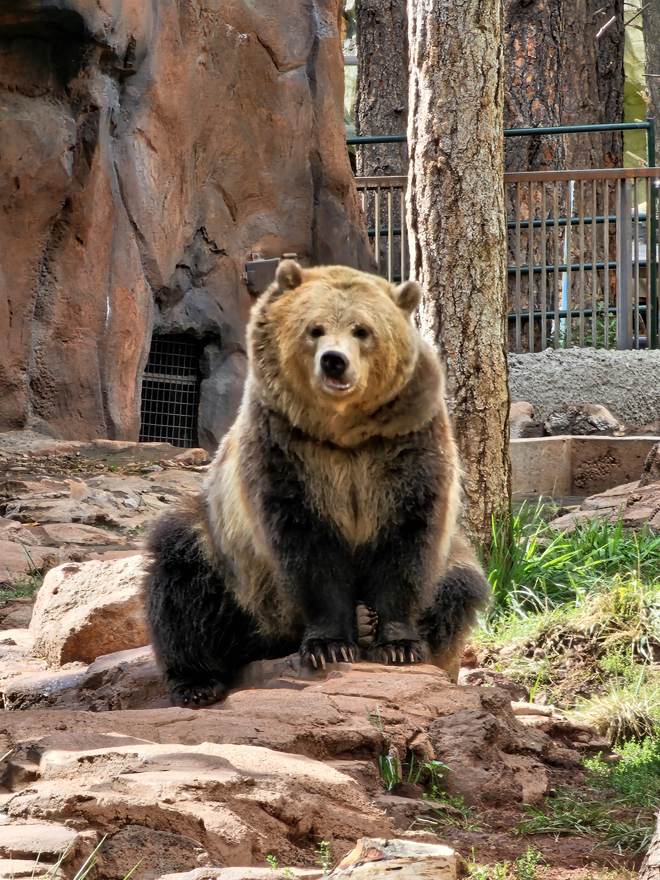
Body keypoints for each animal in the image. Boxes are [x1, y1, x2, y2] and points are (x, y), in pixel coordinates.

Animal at [144, 260, 491, 706]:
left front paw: (398, 644)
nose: (334, 362)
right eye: (315, 329)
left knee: (459, 587)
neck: (343, 431)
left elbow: (407, 538)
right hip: (232, 560)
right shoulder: (286, 450)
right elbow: (307, 546)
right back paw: (197, 682)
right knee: (182, 573)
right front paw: (331, 645)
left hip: (453, 557)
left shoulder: (407, 442)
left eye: (362, 330)